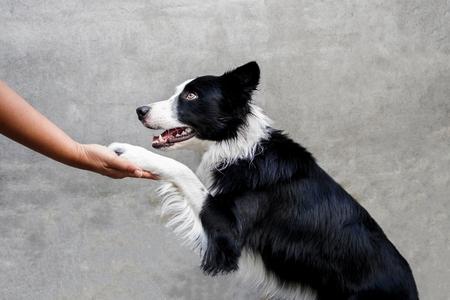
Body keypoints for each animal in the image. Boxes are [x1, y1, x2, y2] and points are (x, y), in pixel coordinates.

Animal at [109, 62, 418, 298]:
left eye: (192, 96)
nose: (140, 110)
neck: (236, 147)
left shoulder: (227, 234)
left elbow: (183, 171)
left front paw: (130, 152)